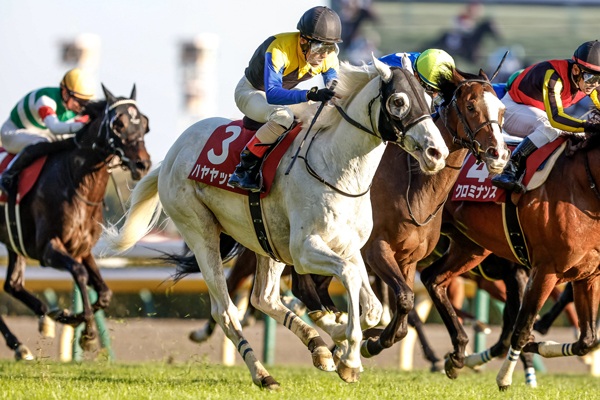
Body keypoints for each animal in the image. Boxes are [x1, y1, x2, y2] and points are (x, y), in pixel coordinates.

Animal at [0, 85, 151, 356]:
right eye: (118, 123)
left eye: (144, 123)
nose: (142, 164)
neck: (78, 185)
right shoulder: (48, 249)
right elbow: (80, 275)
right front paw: (87, 333)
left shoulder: (82, 249)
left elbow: (104, 293)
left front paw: (68, 316)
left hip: (14, 243)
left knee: (13, 284)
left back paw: (34, 329)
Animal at [104, 57, 450, 390]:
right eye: (398, 101)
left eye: (430, 100)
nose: (437, 152)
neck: (336, 168)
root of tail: (171, 154)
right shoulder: (305, 250)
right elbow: (351, 281)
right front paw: (349, 356)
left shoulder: (350, 247)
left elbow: (375, 308)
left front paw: (340, 336)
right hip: (200, 231)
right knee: (226, 312)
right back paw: (263, 375)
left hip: (265, 239)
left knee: (264, 298)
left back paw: (317, 346)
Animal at [420, 110, 600, 390]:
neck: (583, 186)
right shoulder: (542, 270)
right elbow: (520, 328)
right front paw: (506, 375)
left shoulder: (588, 275)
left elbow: (587, 339)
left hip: (470, 248)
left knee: (433, 280)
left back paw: (458, 354)